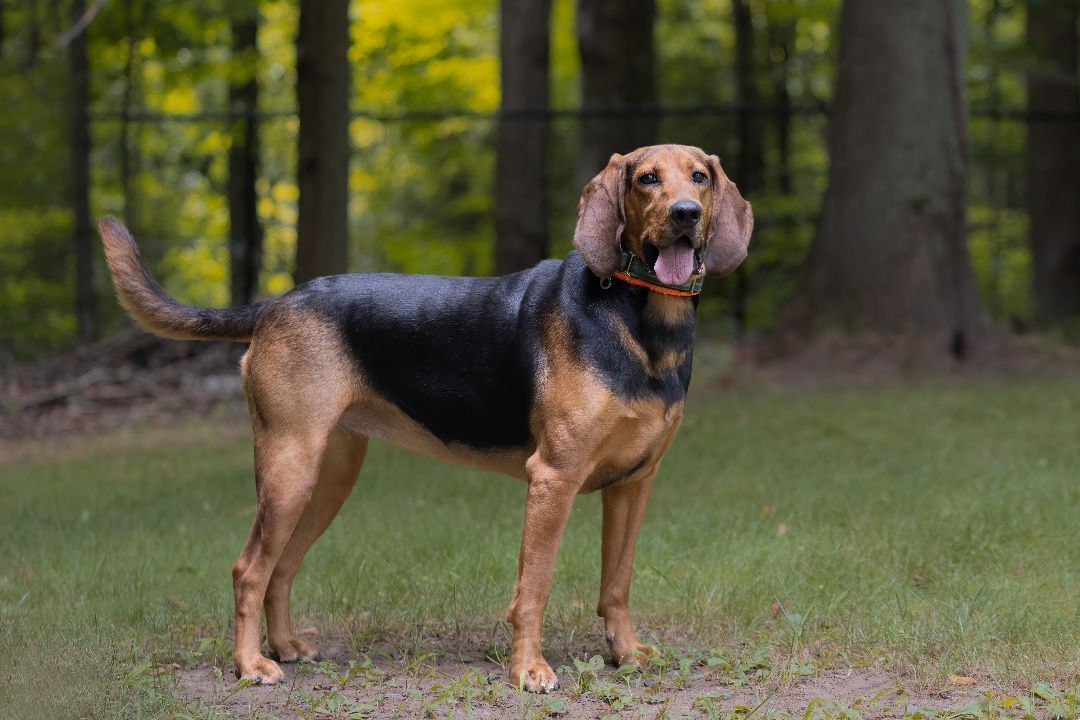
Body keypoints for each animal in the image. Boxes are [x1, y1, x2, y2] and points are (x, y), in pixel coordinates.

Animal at [97, 142, 751, 690]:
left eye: (700, 176)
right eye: (646, 179)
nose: (687, 213)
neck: (642, 321)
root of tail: (276, 305)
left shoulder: (634, 484)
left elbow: (616, 583)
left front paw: (626, 654)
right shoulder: (553, 479)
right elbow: (533, 588)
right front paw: (528, 671)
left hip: (328, 480)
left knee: (281, 568)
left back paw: (284, 647)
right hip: (289, 471)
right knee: (248, 570)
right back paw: (251, 665)